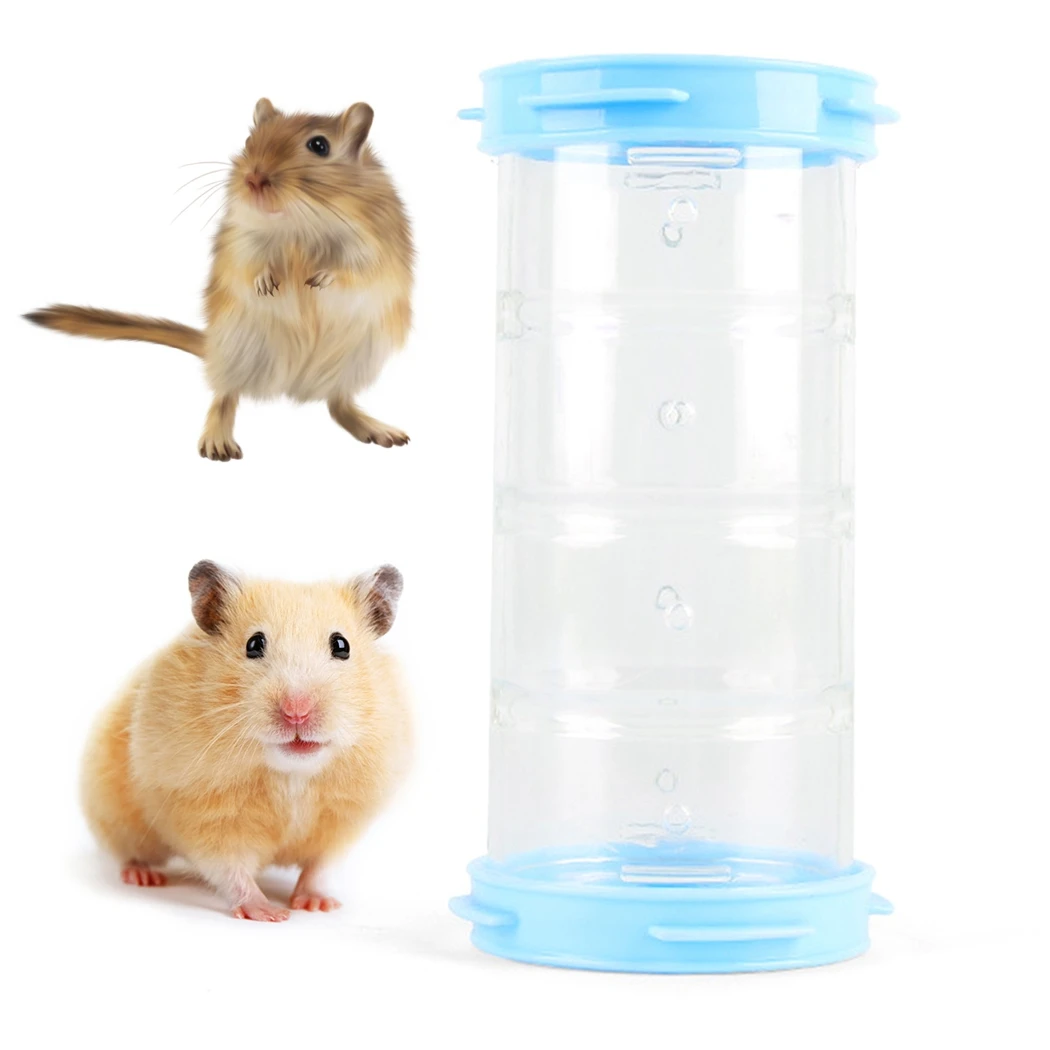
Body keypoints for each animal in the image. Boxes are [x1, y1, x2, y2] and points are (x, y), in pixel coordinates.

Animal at [25, 98, 414, 461]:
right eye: (249, 140)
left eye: (319, 146)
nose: (253, 179)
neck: (298, 223)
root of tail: (294, 384)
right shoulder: (242, 238)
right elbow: (249, 264)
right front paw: (267, 285)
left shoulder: (373, 244)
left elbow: (355, 269)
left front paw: (318, 280)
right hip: (237, 347)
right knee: (225, 395)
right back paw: (218, 441)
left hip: (354, 362)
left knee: (338, 403)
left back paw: (380, 430)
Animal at [81, 560, 410, 921]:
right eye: (254, 644)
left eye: (342, 646)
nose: (297, 711)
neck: (292, 774)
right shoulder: (203, 816)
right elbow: (231, 869)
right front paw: (271, 913)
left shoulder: (342, 823)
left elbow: (321, 868)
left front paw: (317, 905)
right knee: (129, 853)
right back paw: (142, 876)